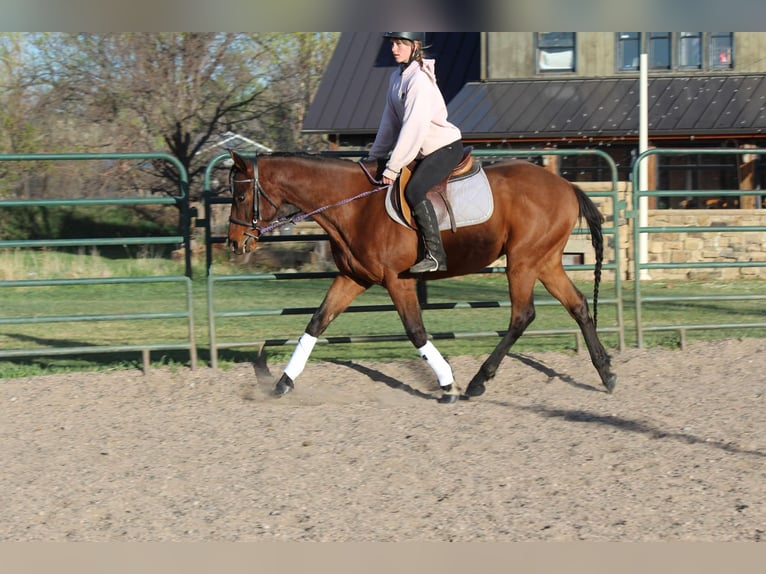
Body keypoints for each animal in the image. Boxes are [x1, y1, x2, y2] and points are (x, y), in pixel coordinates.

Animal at [226, 149, 617, 403]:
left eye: (241, 195)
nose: (233, 243)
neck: (355, 205)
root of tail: (565, 187)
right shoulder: (353, 278)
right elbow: (316, 322)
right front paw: (283, 382)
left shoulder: (398, 282)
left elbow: (415, 331)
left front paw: (448, 386)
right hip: (545, 262)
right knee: (578, 306)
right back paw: (606, 373)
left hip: (522, 262)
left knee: (522, 315)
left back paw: (478, 382)